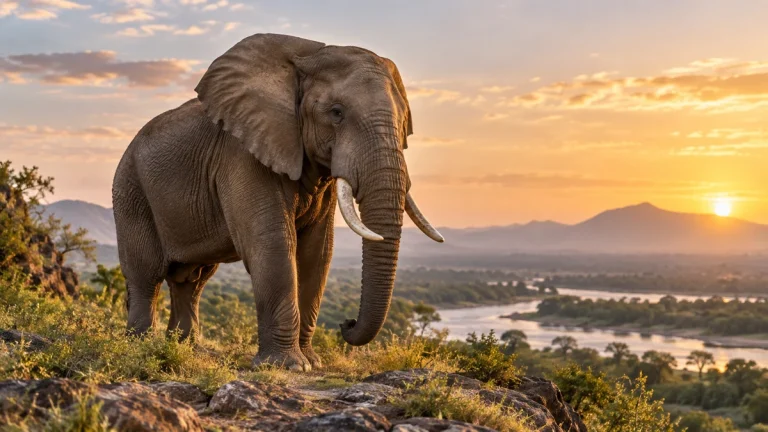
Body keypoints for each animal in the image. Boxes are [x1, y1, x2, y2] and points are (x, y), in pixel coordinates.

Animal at [111, 33, 443, 371]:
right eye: (336, 112)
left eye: (404, 121)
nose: (346, 324)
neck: (306, 58)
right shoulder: (242, 154)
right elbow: (273, 243)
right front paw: (288, 366)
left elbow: (317, 252)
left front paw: (312, 362)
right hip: (130, 190)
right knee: (146, 274)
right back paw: (141, 348)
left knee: (192, 280)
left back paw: (185, 349)